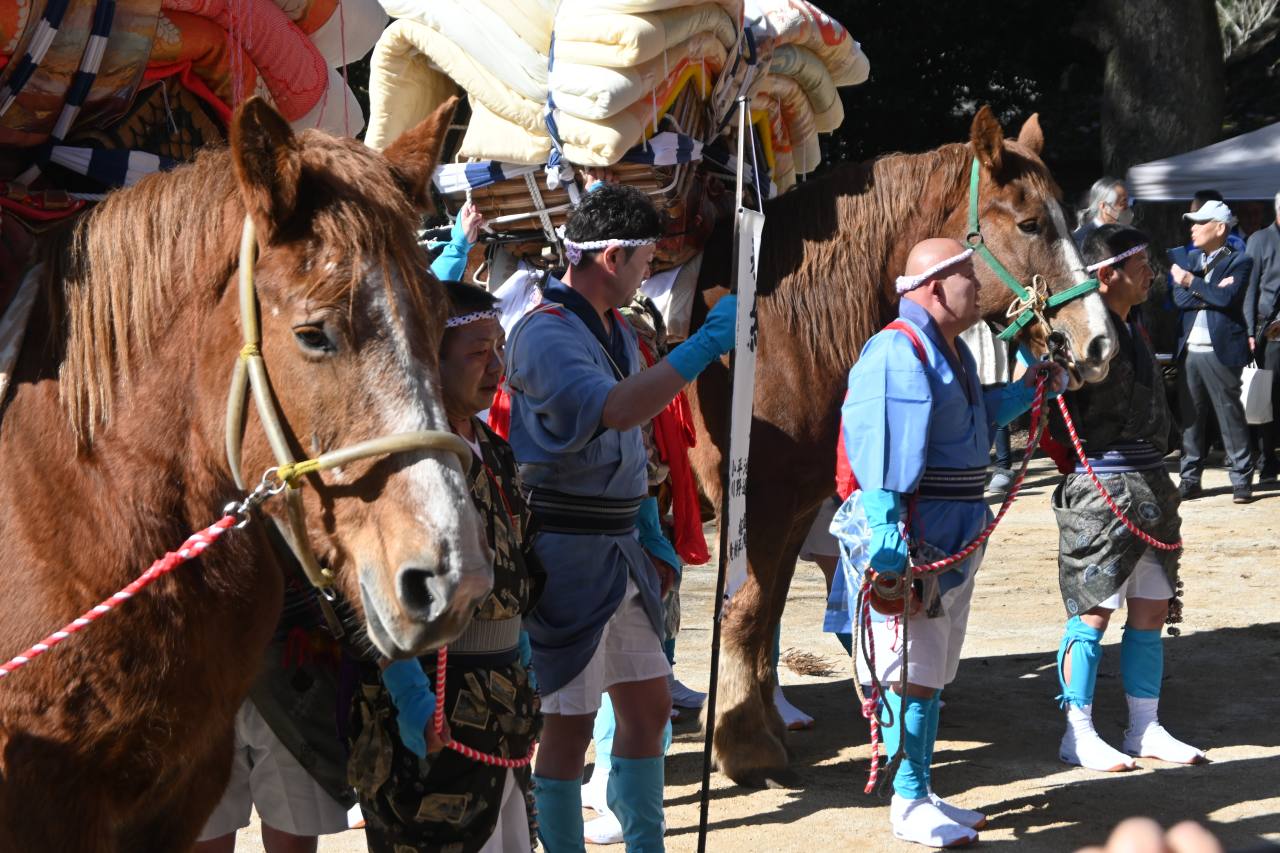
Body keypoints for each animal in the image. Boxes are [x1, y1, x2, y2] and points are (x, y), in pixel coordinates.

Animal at [688, 106, 1119, 786]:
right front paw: (744, 746)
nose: (1098, 343)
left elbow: (769, 611)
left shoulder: (796, 506)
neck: (778, 326)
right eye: (1029, 223)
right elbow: (749, 611)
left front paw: (762, 727)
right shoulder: (760, 502)